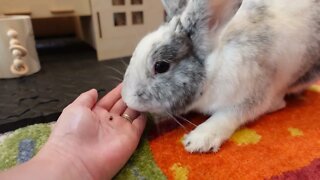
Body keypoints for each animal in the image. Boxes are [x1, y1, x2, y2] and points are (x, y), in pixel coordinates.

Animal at [121, 0, 320, 153]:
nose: (127, 98)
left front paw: (199, 140)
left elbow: (228, 116)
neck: (213, 69)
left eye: (161, 66)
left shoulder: (252, 95)